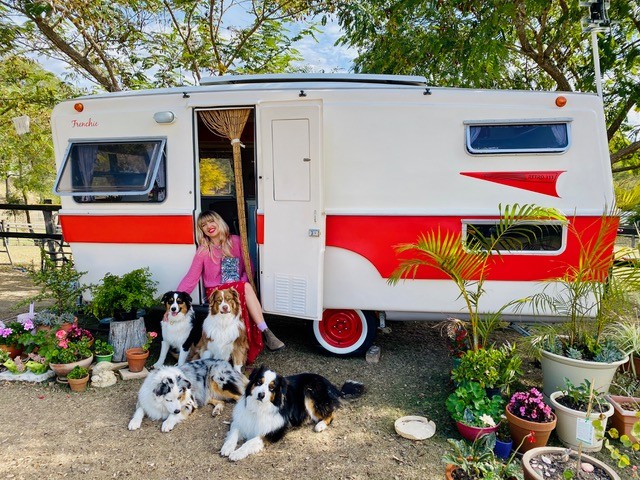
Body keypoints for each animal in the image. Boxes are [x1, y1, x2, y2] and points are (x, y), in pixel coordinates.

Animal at [220, 368, 362, 462]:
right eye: (259, 382)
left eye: (272, 388)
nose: (261, 395)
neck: (259, 408)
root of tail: (329, 384)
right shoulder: (241, 421)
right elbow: (234, 433)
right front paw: (227, 447)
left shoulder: (273, 432)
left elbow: (250, 442)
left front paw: (237, 453)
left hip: (309, 392)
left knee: (330, 413)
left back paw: (320, 425)